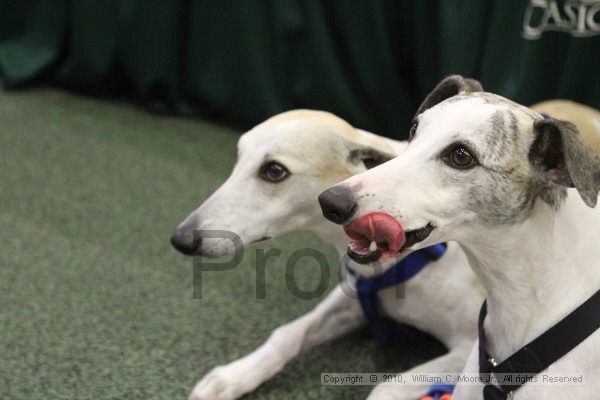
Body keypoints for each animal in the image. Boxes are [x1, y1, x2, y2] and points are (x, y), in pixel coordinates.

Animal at [170, 111, 482, 400]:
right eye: (238, 158)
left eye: (274, 170)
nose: (180, 238)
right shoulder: (357, 297)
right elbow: (288, 334)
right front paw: (234, 375)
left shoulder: (471, 348)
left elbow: (388, 386)